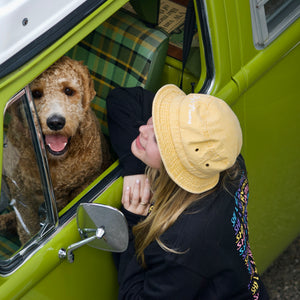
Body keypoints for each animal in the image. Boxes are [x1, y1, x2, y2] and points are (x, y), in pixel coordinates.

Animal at [0, 55, 110, 244]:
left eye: (68, 90)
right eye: (36, 94)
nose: (56, 122)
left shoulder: (85, 183)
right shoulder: (22, 197)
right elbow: (28, 229)